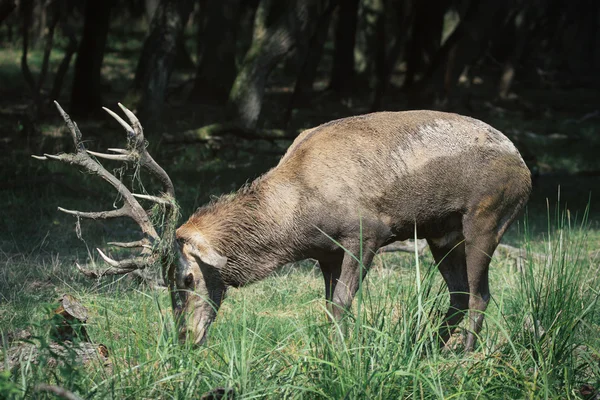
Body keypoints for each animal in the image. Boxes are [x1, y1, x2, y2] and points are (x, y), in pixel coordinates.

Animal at [38, 102, 528, 350]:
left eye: (186, 276)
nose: (185, 340)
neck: (299, 217)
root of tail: (523, 165)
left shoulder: (365, 231)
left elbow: (341, 305)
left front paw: (339, 357)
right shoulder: (325, 252)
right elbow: (329, 306)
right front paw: (329, 354)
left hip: (487, 215)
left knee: (481, 294)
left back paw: (461, 356)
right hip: (440, 232)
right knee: (460, 295)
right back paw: (430, 350)